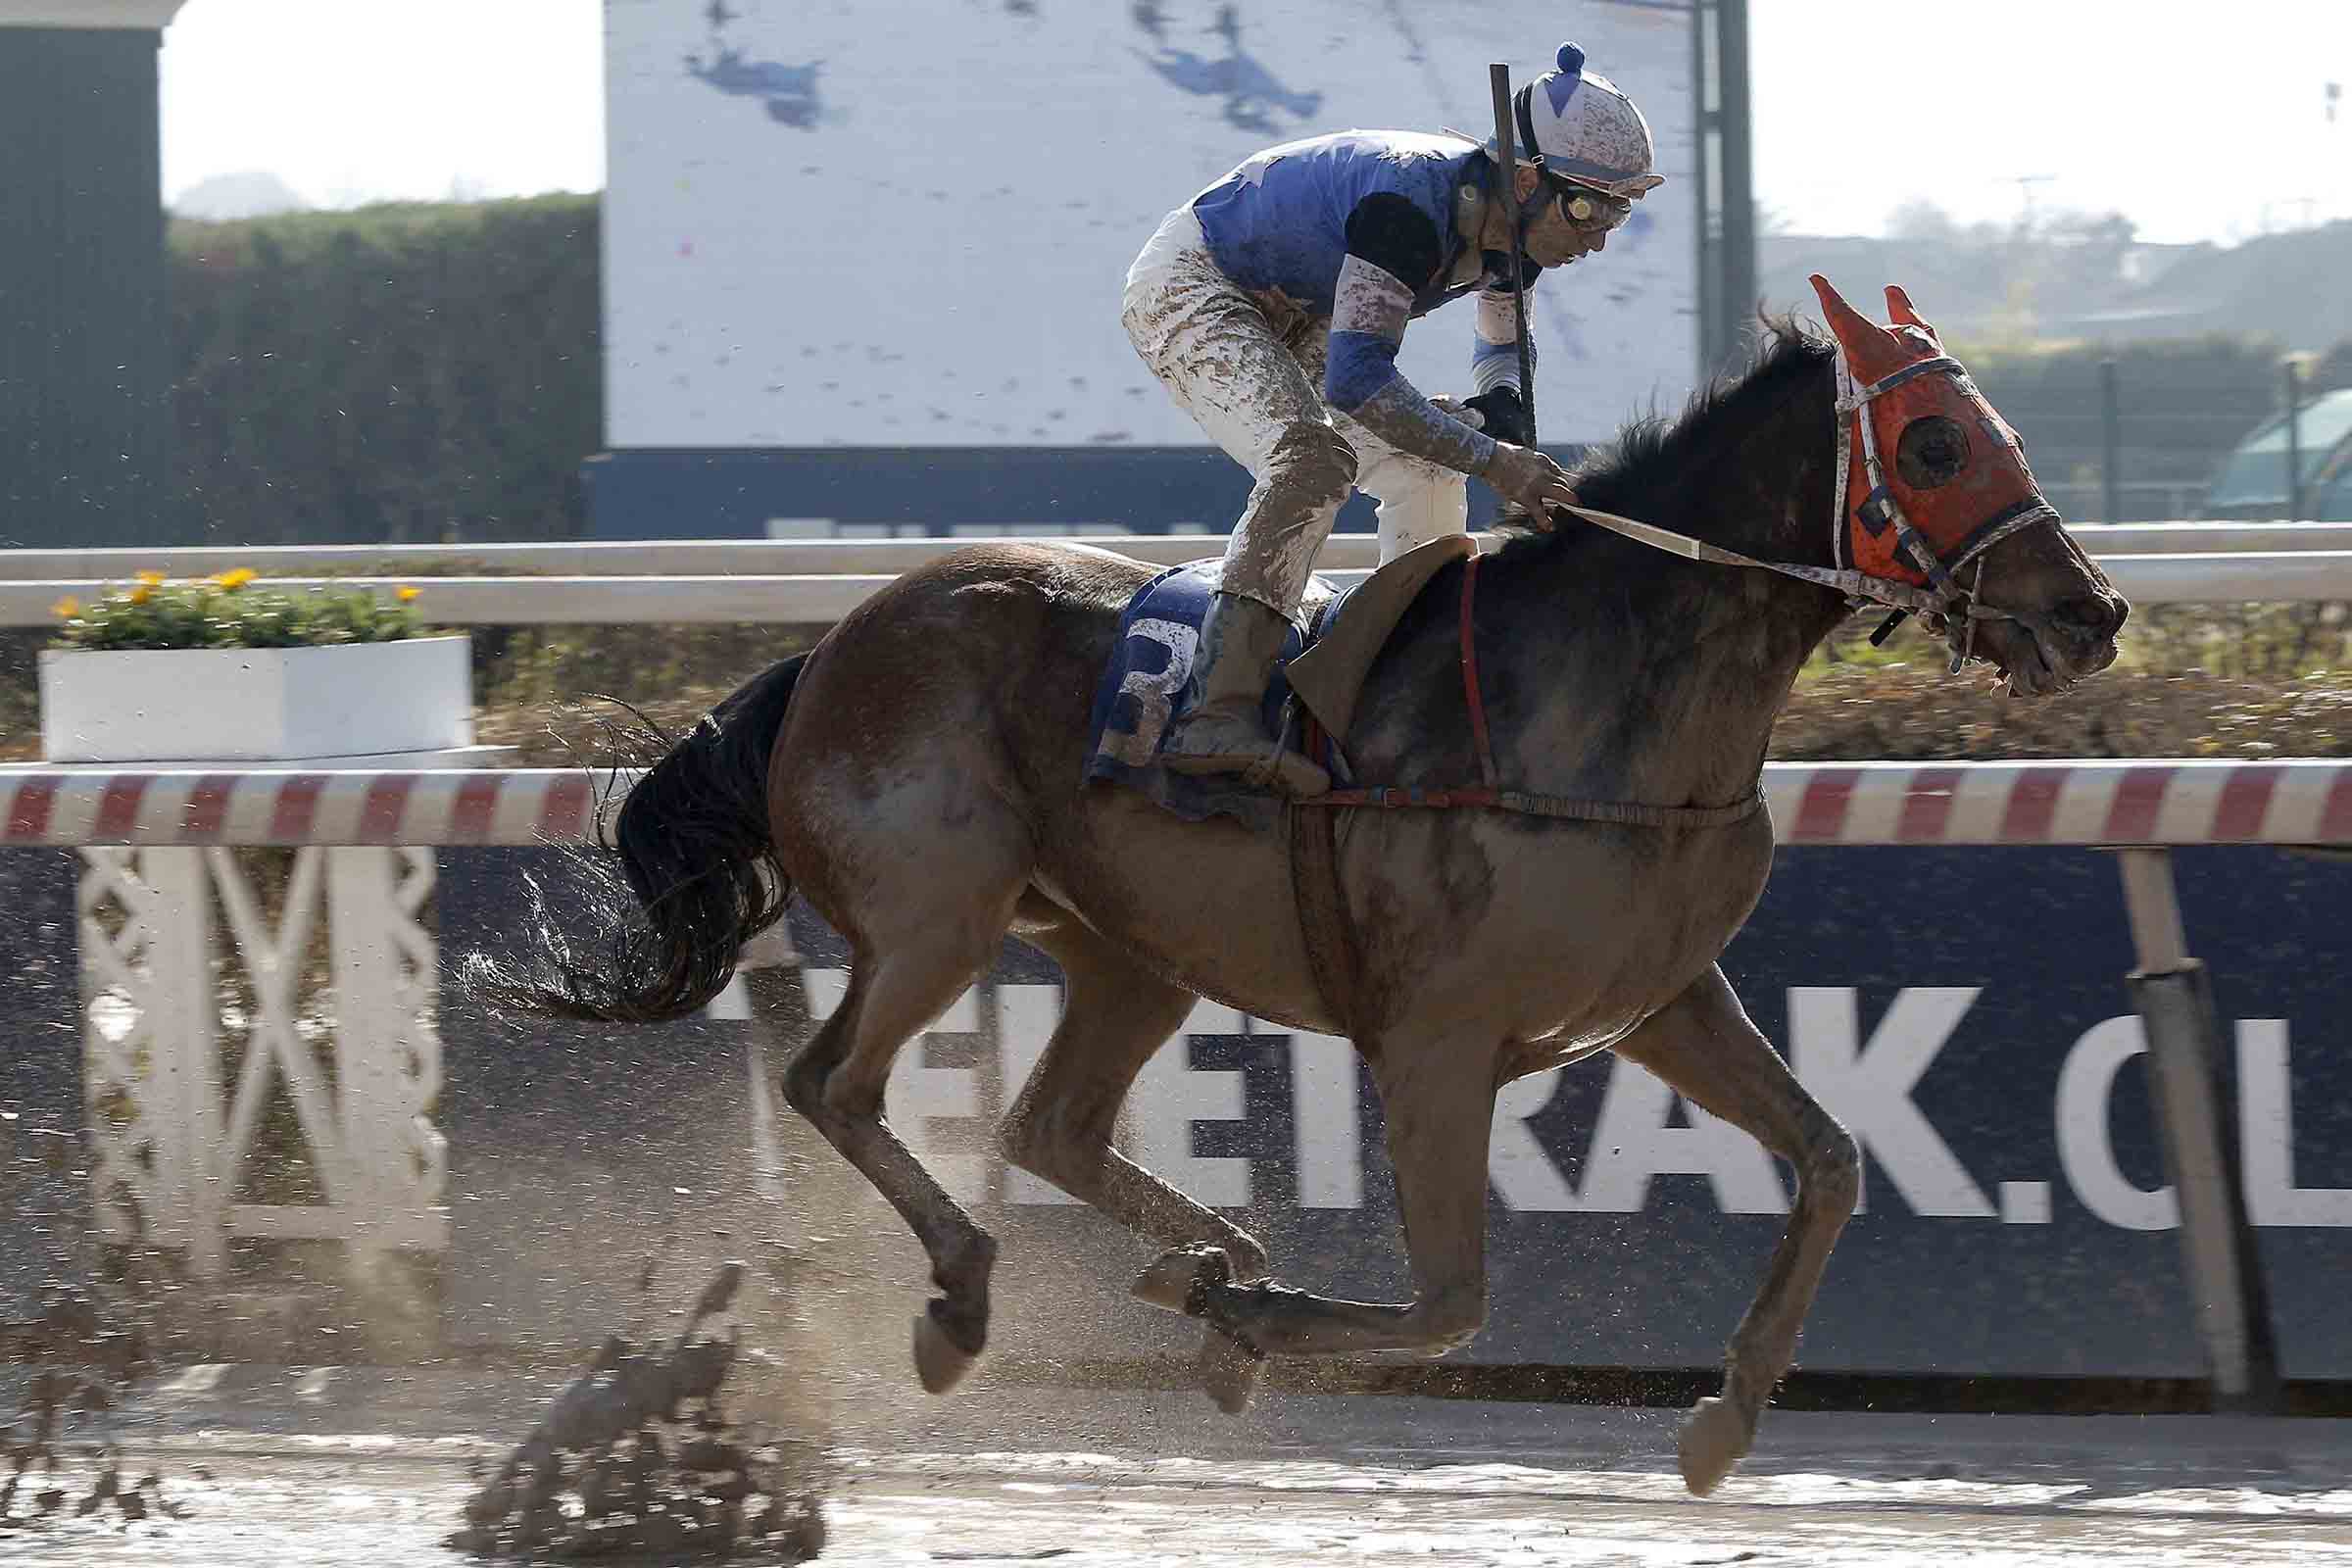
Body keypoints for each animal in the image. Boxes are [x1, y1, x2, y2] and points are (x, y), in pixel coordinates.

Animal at [474, 277, 2126, 1495]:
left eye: (1996, 429)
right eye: (1934, 446)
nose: (2090, 613)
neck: (1603, 695)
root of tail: (829, 646)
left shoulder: (1658, 999)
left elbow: (1834, 1161)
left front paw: (1725, 1416)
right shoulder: (1437, 1040)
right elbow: (1452, 1304)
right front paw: (1242, 1326)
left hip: (1133, 953)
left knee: (1044, 1125)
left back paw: (1210, 1256)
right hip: (938, 916)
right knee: (836, 1084)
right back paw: (971, 1296)